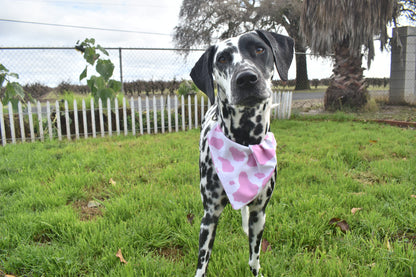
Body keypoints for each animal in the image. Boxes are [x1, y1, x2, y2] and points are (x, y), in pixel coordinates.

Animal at [190, 30, 294, 276]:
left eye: (259, 49)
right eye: (222, 59)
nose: (246, 78)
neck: (245, 142)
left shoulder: (260, 212)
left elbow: (254, 259)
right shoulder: (209, 216)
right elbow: (202, 264)